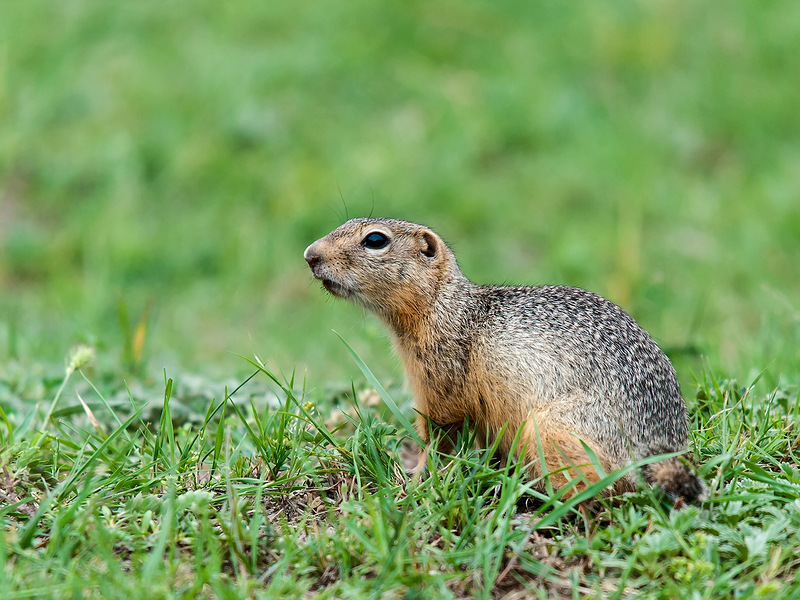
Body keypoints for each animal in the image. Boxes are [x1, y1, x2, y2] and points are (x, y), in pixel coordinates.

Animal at [304, 217, 704, 502]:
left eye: (375, 240)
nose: (310, 255)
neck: (446, 306)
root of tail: (659, 450)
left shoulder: (441, 380)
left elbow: (439, 435)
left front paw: (416, 480)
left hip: (550, 431)